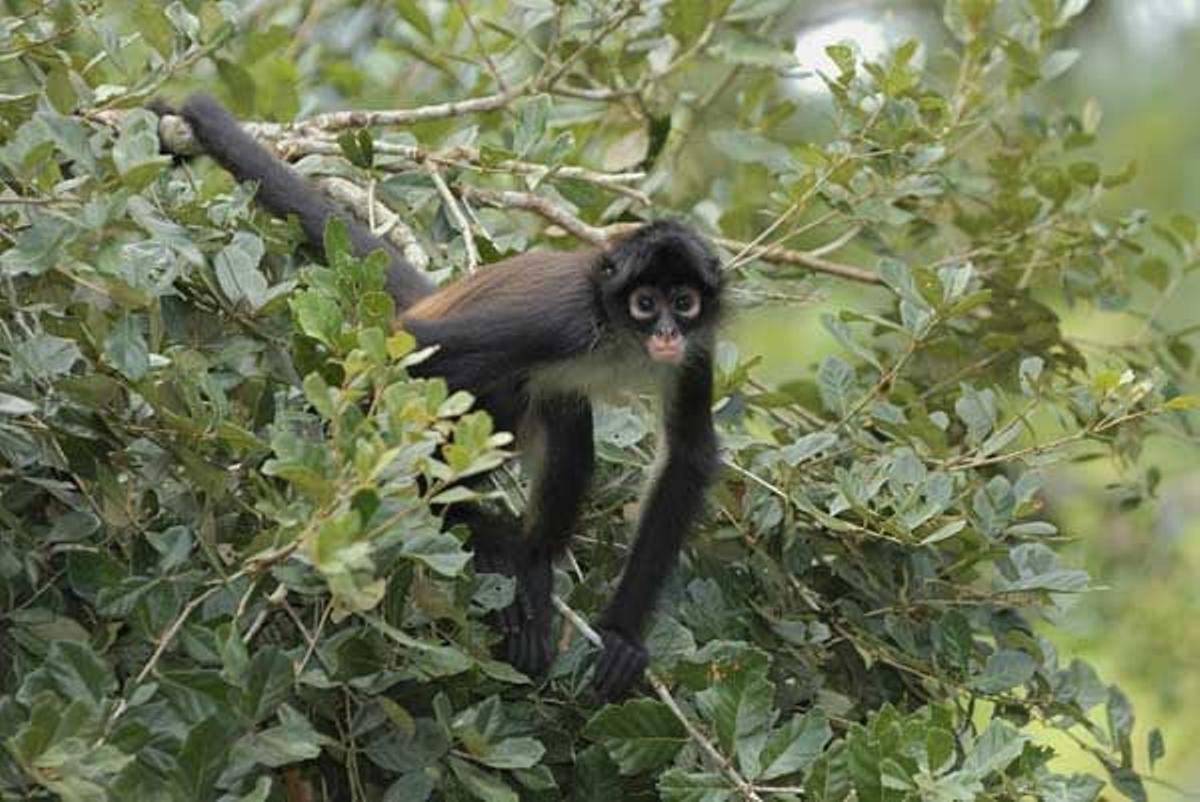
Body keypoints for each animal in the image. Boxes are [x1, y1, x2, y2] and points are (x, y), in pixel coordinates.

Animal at [162, 92, 720, 696]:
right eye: (645, 303)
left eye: (683, 302)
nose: (666, 333)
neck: (619, 335)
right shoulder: (563, 321)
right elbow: (411, 352)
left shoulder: (698, 348)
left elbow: (688, 454)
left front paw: (620, 634)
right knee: (491, 380)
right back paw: (482, 535)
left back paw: (534, 561)